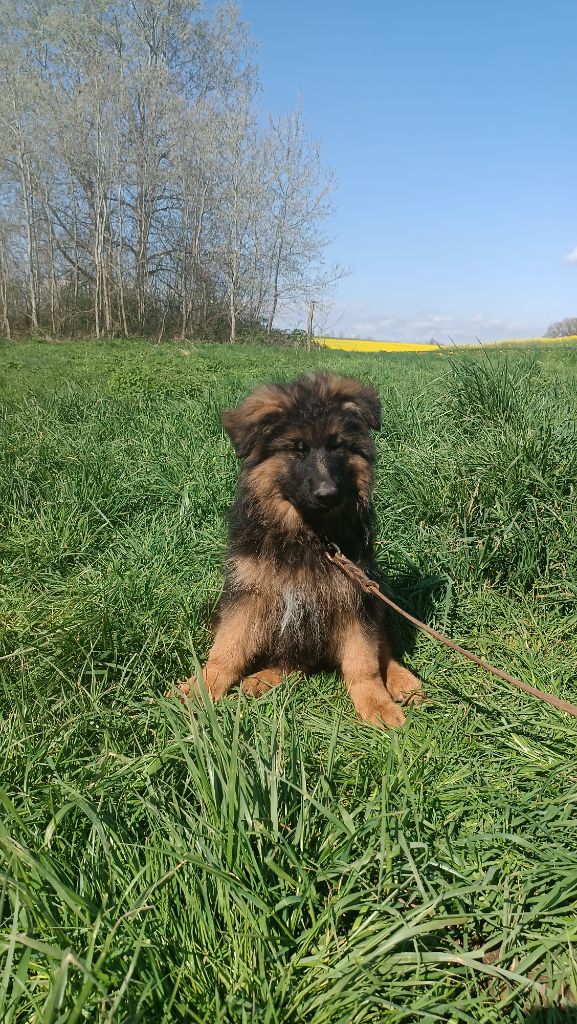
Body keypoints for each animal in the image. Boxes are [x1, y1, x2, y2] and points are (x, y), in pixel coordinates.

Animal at [182, 374, 422, 729]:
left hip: (376, 591)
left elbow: (364, 662)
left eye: (338, 446)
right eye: (297, 449)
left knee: (382, 649)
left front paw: (376, 703)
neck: (308, 534)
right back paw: (263, 679)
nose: (328, 494)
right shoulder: (247, 593)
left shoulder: (355, 597)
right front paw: (202, 687)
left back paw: (402, 680)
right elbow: (226, 649)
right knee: (299, 661)